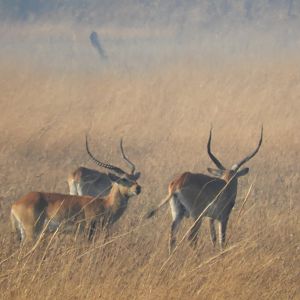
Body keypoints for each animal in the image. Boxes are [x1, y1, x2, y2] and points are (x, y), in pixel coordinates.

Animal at [9, 139, 141, 243]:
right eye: (123, 179)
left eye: (135, 178)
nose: (138, 188)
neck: (105, 204)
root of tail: (15, 204)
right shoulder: (88, 232)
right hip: (31, 232)